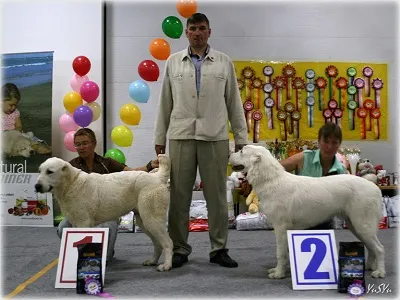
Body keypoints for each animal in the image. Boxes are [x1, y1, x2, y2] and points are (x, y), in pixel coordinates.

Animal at [36, 155, 175, 272]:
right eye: (39, 171)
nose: (36, 186)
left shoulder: (83, 224)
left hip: (152, 220)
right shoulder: (76, 225)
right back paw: (152, 261)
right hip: (144, 222)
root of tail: (156, 177)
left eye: (50, 171)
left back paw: (167, 265)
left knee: (168, 243)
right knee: (158, 243)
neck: (71, 184)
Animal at [230, 145, 386, 278]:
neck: (271, 179)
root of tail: (375, 187)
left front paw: (279, 274)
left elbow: (280, 252)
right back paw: (369, 267)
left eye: (242, 151)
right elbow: (285, 252)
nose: (229, 154)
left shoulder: (280, 227)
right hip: (356, 225)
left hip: (362, 224)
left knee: (379, 248)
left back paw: (379, 272)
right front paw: (282, 269)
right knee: (371, 247)